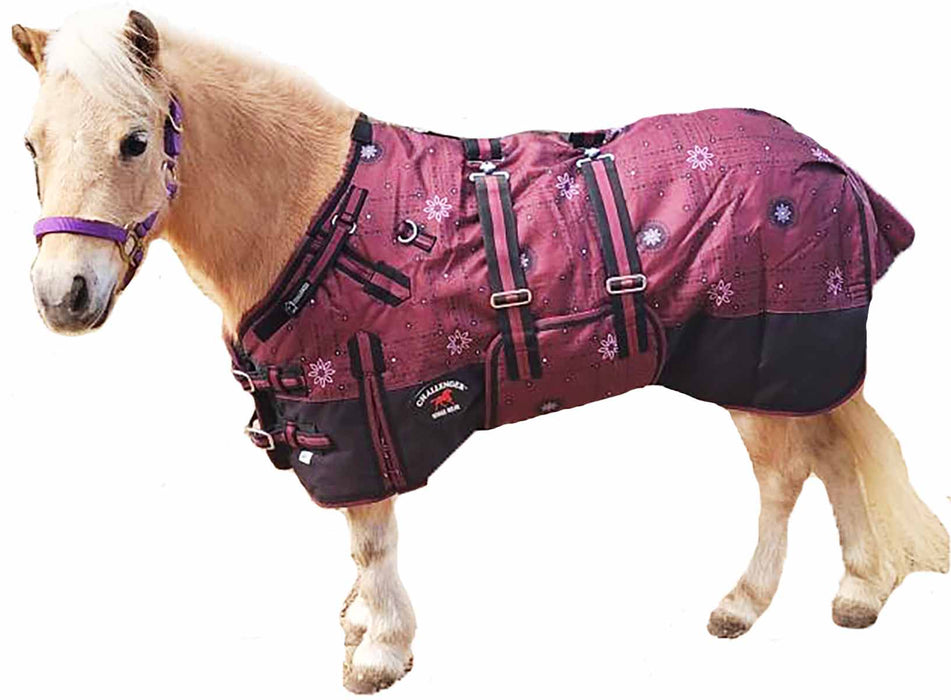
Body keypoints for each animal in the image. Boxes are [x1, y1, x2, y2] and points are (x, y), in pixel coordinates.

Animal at [12, 7, 948, 694]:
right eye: (31, 144)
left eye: (136, 140)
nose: (64, 295)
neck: (318, 214)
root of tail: (825, 160)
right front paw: (363, 623)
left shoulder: (360, 422)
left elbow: (371, 540)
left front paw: (380, 650)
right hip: (778, 370)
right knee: (830, 456)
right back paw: (839, 592)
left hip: (758, 364)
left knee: (789, 473)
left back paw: (764, 600)